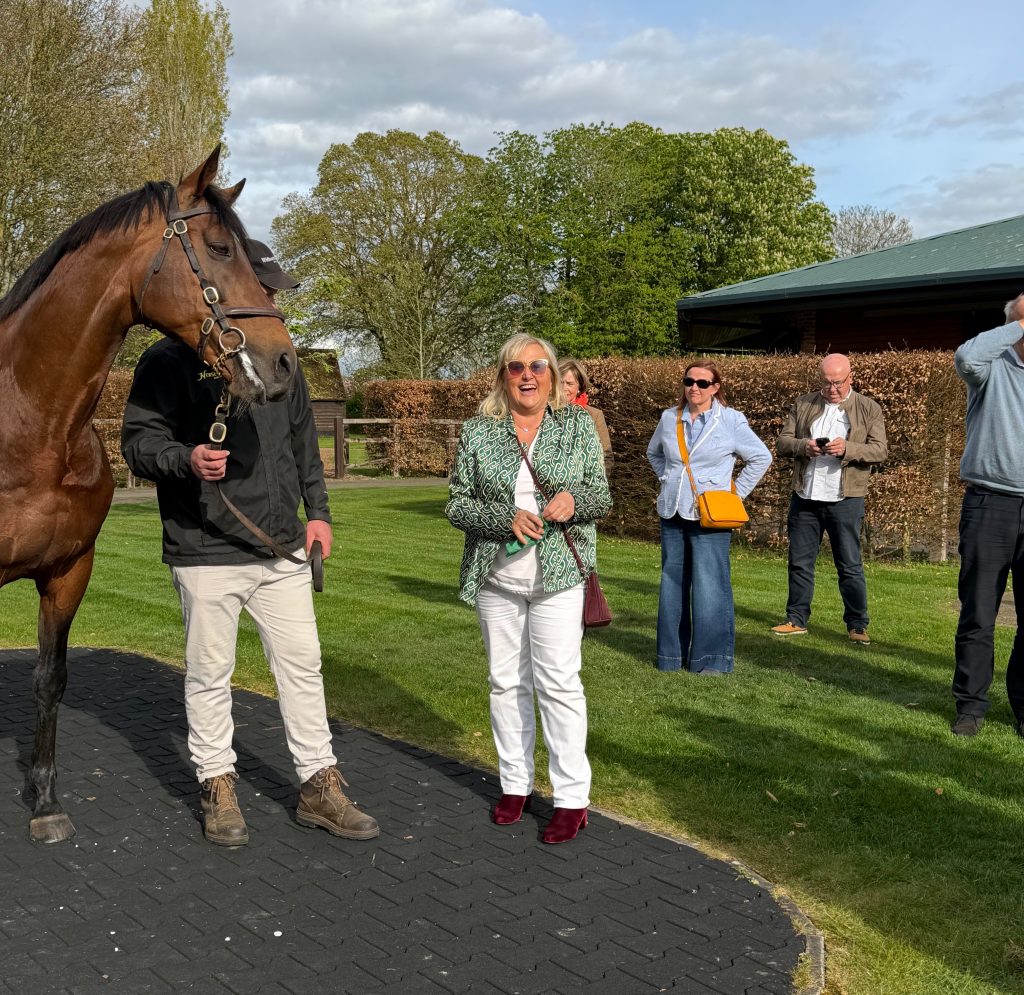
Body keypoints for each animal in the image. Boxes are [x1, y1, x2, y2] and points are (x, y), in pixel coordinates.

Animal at [0, 146, 297, 843]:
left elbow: (49, 679)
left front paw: (45, 802)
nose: (282, 362)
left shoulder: (69, 572)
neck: (31, 425)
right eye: (219, 248)